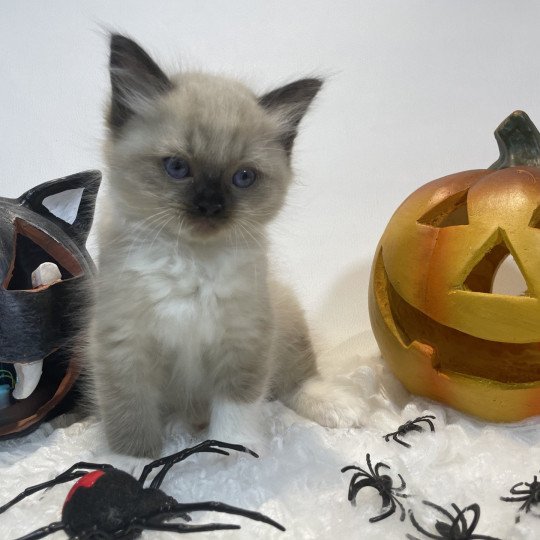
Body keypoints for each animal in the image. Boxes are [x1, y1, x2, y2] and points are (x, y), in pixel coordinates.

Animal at [87, 32, 362, 456]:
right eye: (177, 167)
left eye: (243, 177)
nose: (210, 206)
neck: (191, 259)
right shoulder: (123, 345)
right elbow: (128, 415)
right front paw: (129, 463)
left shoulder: (243, 339)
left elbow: (237, 410)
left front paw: (235, 455)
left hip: (285, 312)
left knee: (296, 382)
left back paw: (339, 408)